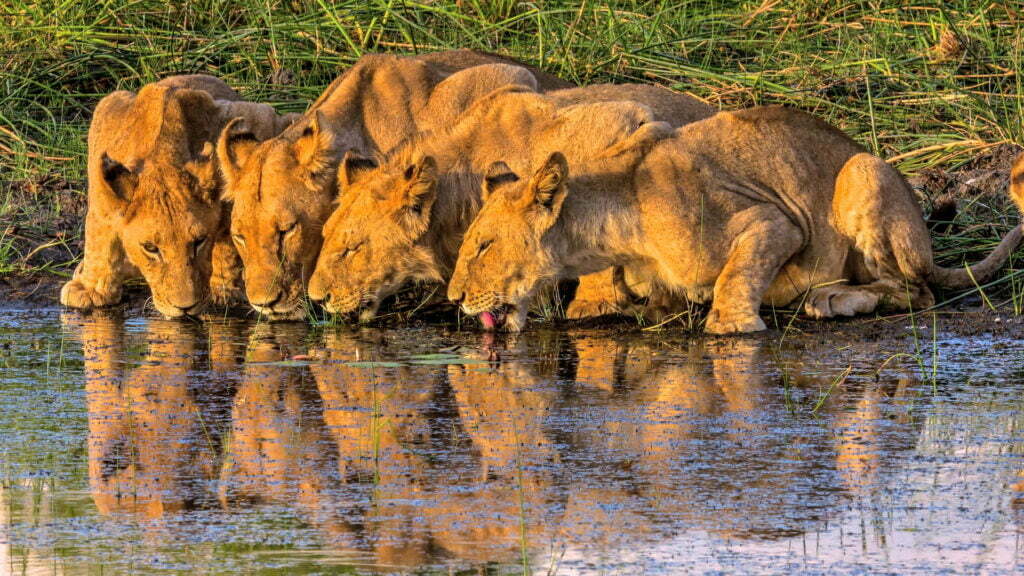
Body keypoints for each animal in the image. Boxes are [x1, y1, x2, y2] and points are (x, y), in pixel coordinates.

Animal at [61, 73, 296, 315]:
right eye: (150, 248)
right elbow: (98, 234)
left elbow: (228, 239)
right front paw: (90, 289)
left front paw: (223, 289)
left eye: (199, 241)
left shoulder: (255, 117)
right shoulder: (106, 117)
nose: (185, 308)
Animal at [450, 105, 1024, 334]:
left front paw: (731, 324)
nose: (455, 299)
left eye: (482, 246)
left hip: (863, 171)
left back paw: (831, 300)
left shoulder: (774, 220)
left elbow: (738, 273)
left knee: (916, 291)